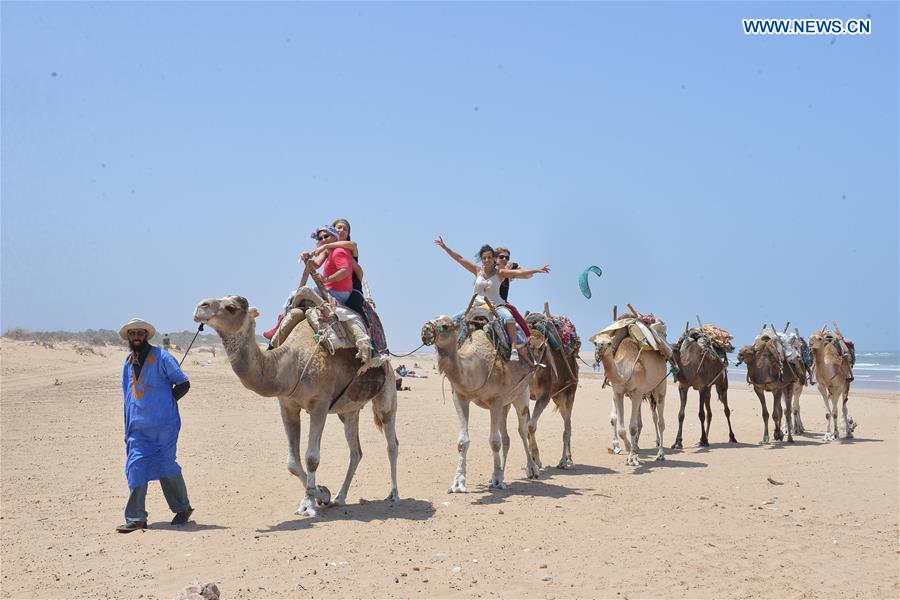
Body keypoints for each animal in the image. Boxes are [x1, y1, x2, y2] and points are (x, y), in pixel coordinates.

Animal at [193, 296, 398, 516]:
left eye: (232, 307)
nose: (200, 306)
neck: (294, 362)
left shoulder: (320, 406)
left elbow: (311, 458)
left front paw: (308, 504)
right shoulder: (287, 406)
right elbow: (292, 463)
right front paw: (322, 494)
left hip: (387, 393)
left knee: (391, 443)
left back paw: (393, 494)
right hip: (348, 411)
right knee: (356, 451)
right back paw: (340, 497)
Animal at [420, 314, 540, 492]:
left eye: (446, 325)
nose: (425, 330)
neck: (478, 367)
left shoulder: (495, 400)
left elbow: (494, 442)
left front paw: (497, 480)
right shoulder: (460, 397)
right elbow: (463, 442)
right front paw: (458, 483)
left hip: (522, 394)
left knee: (522, 431)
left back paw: (532, 469)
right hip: (505, 405)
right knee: (506, 437)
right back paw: (501, 474)